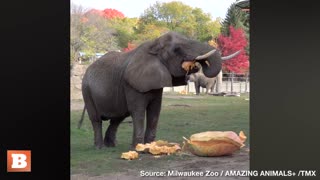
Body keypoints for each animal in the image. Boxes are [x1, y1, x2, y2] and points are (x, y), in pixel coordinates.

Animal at [80, 31, 240, 149]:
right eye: (177, 49)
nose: (196, 65)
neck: (153, 46)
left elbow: (155, 111)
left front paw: (151, 146)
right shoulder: (131, 83)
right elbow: (138, 111)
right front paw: (138, 148)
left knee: (117, 118)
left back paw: (111, 146)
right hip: (86, 90)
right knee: (97, 119)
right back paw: (100, 147)